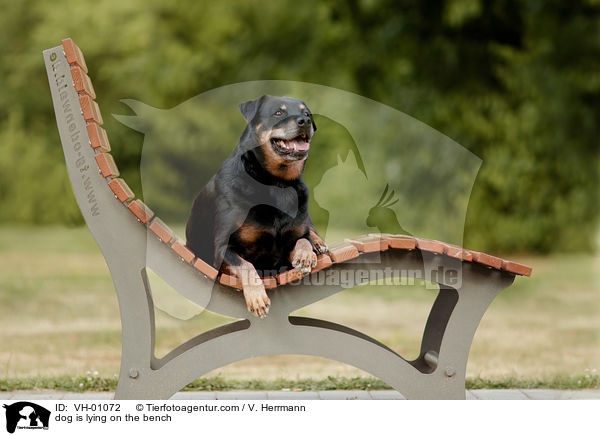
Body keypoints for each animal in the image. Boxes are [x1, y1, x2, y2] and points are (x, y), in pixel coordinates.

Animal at [186, 95, 328, 316]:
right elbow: (246, 266)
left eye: (307, 113)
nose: (304, 121)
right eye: (278, 112)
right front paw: (257, 298)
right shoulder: (223, 249)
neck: (277, 183)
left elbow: (304, 240)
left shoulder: (293, 240)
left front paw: (305, 255)